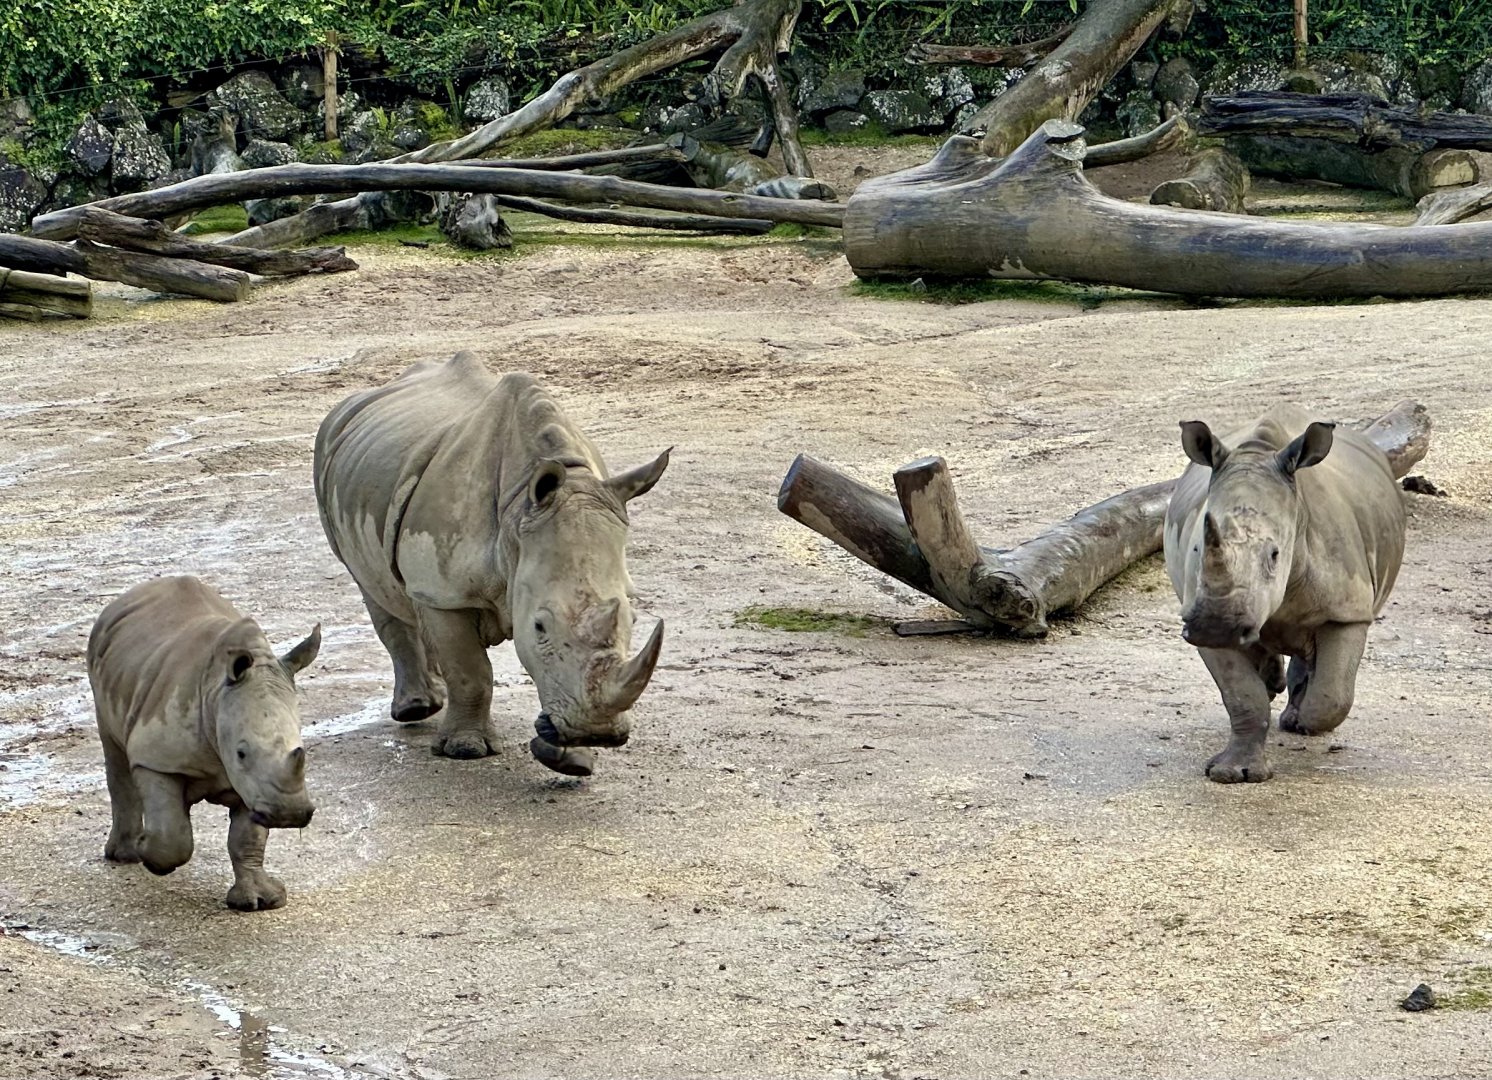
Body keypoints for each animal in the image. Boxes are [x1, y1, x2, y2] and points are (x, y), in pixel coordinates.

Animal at [88, 576, 321, 910]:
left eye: (302, 750)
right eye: (241, 753)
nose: (289, 815)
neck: (216, 697)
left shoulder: (256, 788)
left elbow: (246, 838)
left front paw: (259, 901)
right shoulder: (156, 758)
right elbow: (172, 835)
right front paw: (152, 857)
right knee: (115, 751)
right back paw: (125, 856)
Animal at [313, 352, 669, 777]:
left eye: (633, 619)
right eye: (539, 626)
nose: (596, 733)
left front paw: (574, 760)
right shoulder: (447, 590)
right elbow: (471, 672)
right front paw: (466, 749)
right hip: (329, 460)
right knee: (373, 588)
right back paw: (416, 709)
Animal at [1163, 404, 1406, 783]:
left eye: (1275, 555)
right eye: (1197, 550)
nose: (1217, 626)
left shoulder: (1348, 608)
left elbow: (1332, 694)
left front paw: (1304, 721)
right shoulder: (1197, 612)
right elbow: (1242, 697)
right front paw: (1233, 773)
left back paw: (1294, 714)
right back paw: (1271, 683)